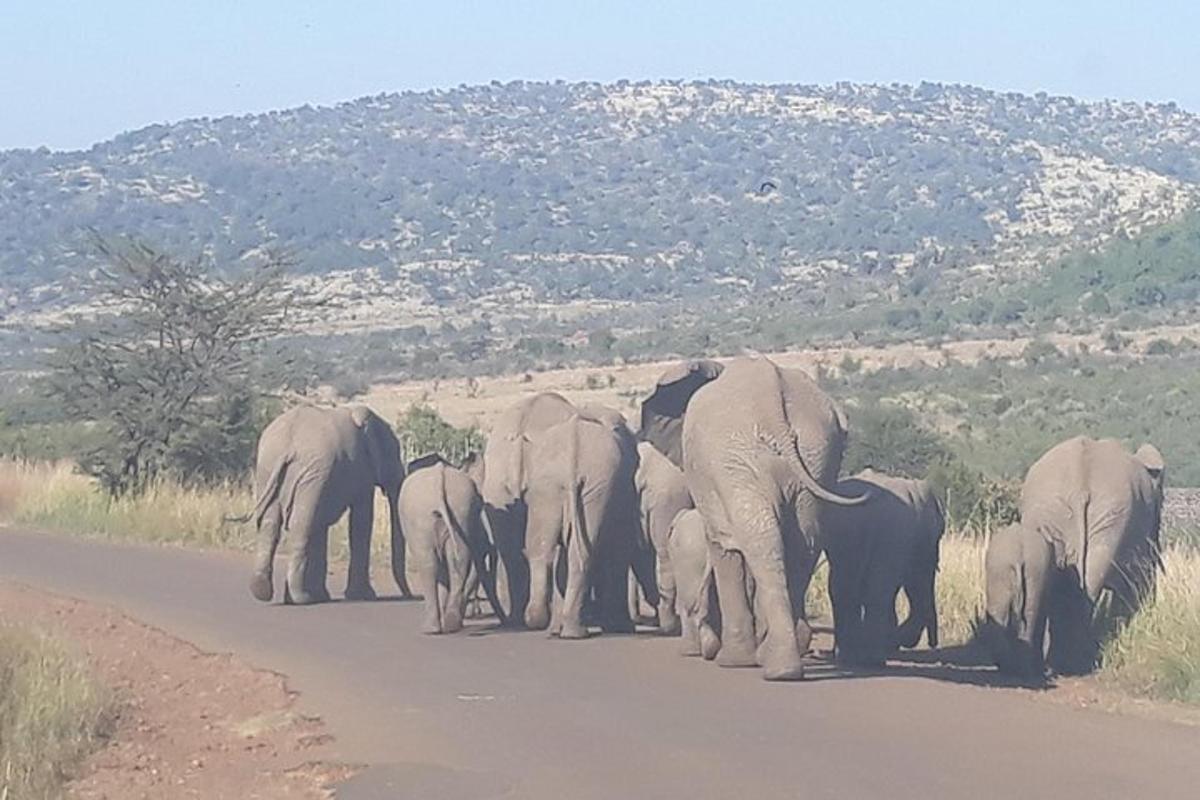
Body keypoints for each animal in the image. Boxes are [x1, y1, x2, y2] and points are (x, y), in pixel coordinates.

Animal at [248, 407, 408, 606]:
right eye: (394, 453)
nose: (409, 595)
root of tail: (287, 447)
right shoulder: (361, 470)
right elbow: (361, 522)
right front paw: (364, 596)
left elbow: (321, 525)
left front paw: (322, 596)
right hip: (311, 472)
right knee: (301, 525)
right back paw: (301, 598)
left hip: (269, 469)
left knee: (270, 525)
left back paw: (264, 591)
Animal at [396, 455, 504, 633]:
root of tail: (439, 478)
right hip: (460, 509)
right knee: (458, 558)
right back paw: (452, 624)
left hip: (425, 517)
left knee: (428, 563)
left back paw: (431, 628)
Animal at [648, 357, 864, 681]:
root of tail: (771, 399)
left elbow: (723, 548)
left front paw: (732, 661)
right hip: (817, 453)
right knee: (801, 543)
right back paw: (782, 662)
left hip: (735, 458)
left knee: (764, 541)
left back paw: (761, 662)